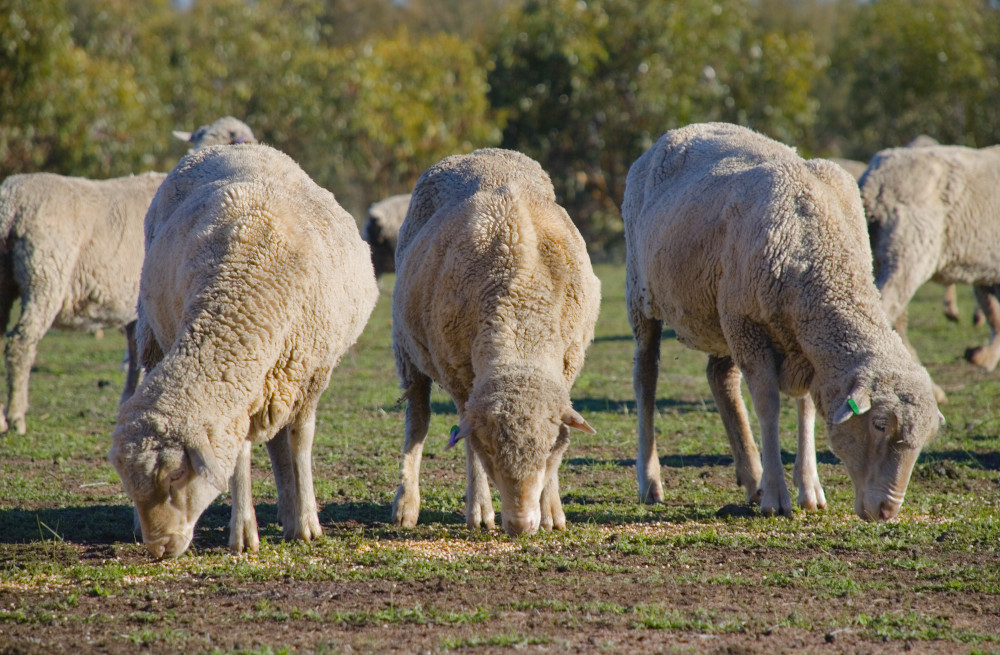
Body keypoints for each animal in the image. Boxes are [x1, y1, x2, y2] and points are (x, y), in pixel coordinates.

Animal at [0, 169, 167, 436]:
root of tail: (11, 203)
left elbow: (134, 356)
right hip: (45, 274)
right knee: (20, 342)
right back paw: (16, 417)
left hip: (6, 280)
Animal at [108, 144, 376, 560]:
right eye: (128, 481)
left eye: (176, 474)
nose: (160, 548)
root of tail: (232, 146)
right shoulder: (242, 385)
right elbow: (241, 453)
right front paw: (245, 532)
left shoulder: (311, 373)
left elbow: (300, 441)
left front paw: (308, 523)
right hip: (159, 339)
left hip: (282, 373)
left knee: (283, 441)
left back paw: (292, 514)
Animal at [390, 149, 596, 540]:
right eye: (490, 449)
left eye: (548, 451)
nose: (520, 526)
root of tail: (479, 153)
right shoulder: (458, 373)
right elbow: (466, 442)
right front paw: (480, 510)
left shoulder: (568, 364)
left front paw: (552, 510)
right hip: (407, 350)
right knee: (417, 421)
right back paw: (406, 503)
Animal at [624, 123, 944, 524]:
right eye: (880, 425)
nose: (887, 510)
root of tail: (677, 132)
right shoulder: (750, 326)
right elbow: (768, 406)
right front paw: (777, 495)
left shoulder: (799, 343)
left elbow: (806, 409)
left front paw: (809, 489)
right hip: (644, 296)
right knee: (646, 377)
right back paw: (650, 481)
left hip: (721, 314)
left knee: (721, 379)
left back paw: (752, 478)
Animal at [860, 142, 1000, 380]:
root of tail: (873, 182)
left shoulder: (987, 273)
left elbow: (993, 312)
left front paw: (983, 358)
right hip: (910, 253)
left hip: (881, 258)